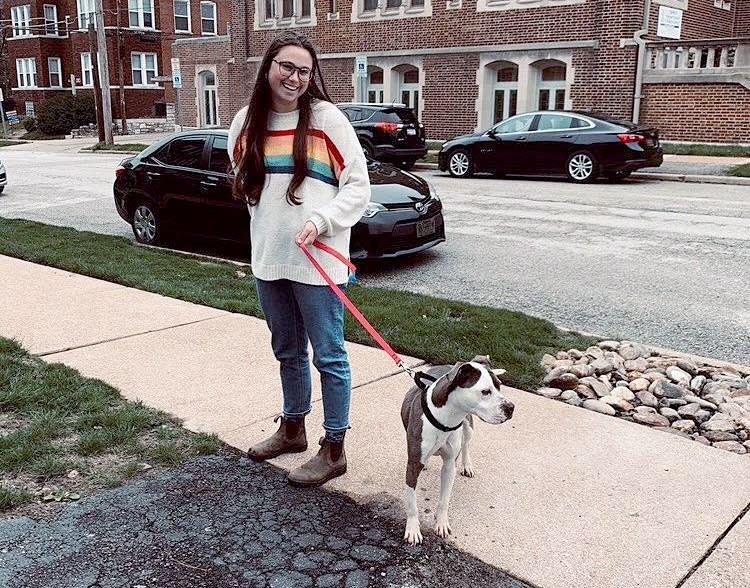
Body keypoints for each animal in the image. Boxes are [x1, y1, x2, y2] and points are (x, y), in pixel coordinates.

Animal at [400, 352, 516, 544]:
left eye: (499, 386)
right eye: (485, 391)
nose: (511, 408)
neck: (445, 419)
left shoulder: (449, 465)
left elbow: (444, 500)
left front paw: (441, 523)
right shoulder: (413, 465)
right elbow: (411, 501)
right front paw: (413, 529)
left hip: (468, 427)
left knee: (466, 444)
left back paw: (467, 465)